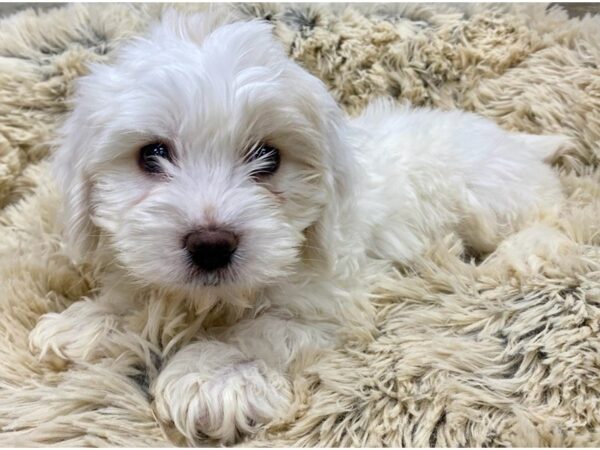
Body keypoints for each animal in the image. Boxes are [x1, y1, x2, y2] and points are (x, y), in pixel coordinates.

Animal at [30, 9, 564, 442]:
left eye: (268, 157)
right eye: (151, 154)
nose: (211, 245)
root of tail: (512, 140)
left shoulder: (336, 301)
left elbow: (261, 329)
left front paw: (214, 374)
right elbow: (140, 293)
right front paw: (91, 320)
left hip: (487, 195)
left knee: (554, 216)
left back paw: (523, 254)